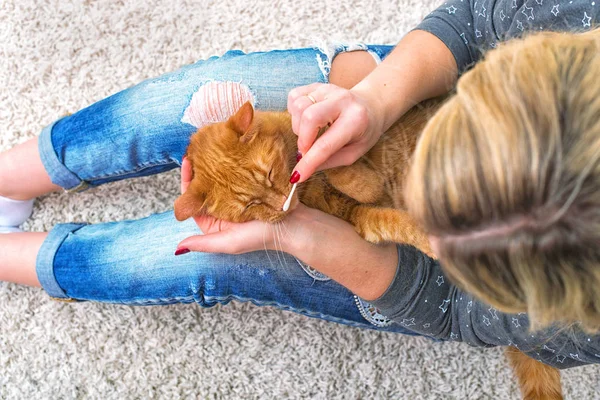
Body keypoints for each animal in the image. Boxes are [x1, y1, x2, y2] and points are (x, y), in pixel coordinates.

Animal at [173, 101, 564, 400]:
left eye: (269, 174)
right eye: (249, 207)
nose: (281, 204)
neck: (309, 189)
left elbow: (336, 156)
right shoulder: (360, 219)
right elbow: (389, 217)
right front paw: (427, 238)